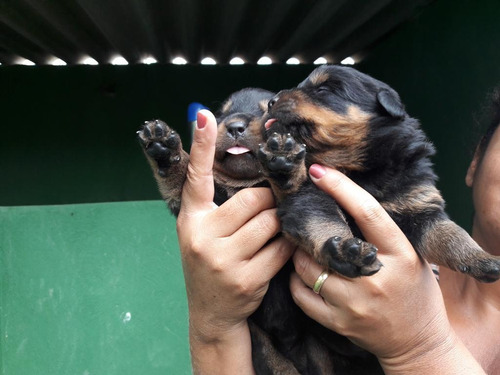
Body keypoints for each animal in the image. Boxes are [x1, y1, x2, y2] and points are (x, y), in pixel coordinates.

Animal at [260, 64, 500, 282]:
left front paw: (481, 257)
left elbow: (450, 234)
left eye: (323, 90)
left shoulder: (420, 205)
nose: (271, 101)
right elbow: (322, 219)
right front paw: (345, 250)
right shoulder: (309, 195)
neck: (358, 168)